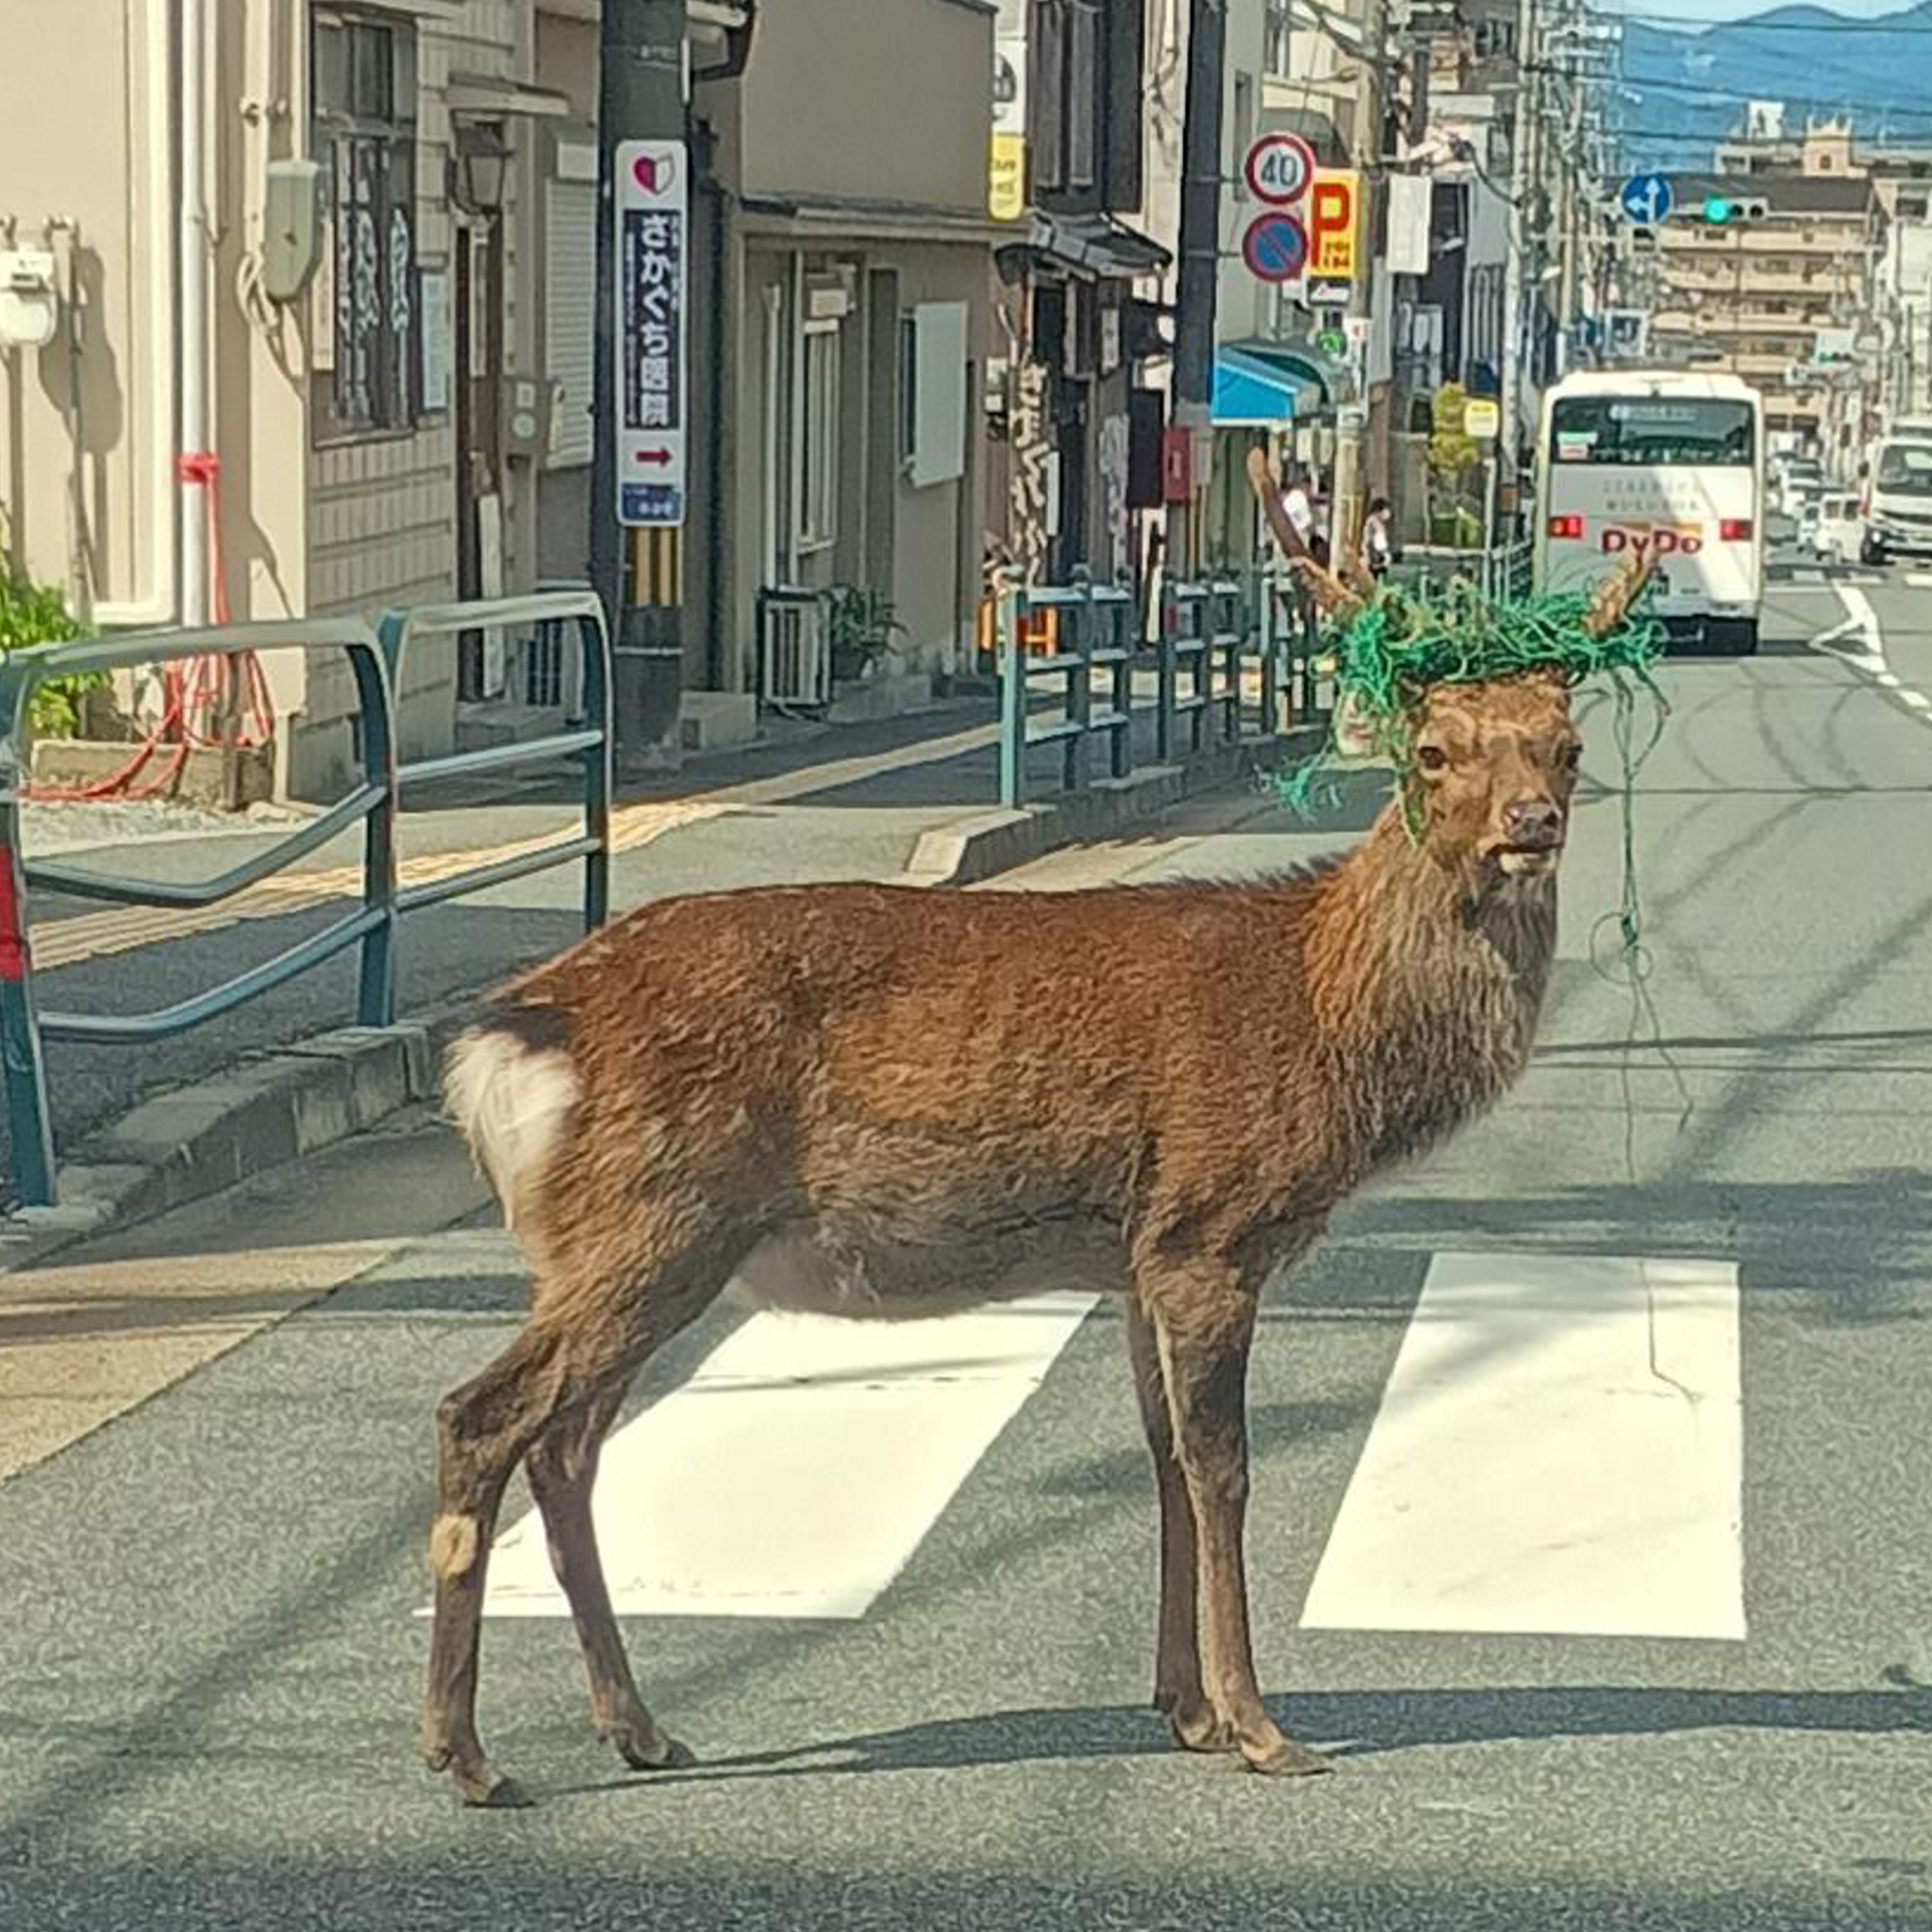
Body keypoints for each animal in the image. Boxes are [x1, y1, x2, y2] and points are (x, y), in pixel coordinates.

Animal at [422, 548, 1655, 1809]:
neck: (1323, 1018)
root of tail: (513, 1033)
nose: (1529, 824)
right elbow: (1222, 1469)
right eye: (1432, 750)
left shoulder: (1137, 1255)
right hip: (653, 1216)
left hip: (627, 1243)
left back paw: (638, 1725)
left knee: (566, 1443)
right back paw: (464, 1749)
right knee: (483, 1414)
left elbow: (1163, 1461)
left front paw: (1183, 1707)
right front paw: (1259, 1725)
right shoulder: (1210, 1227)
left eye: (1564, 744)